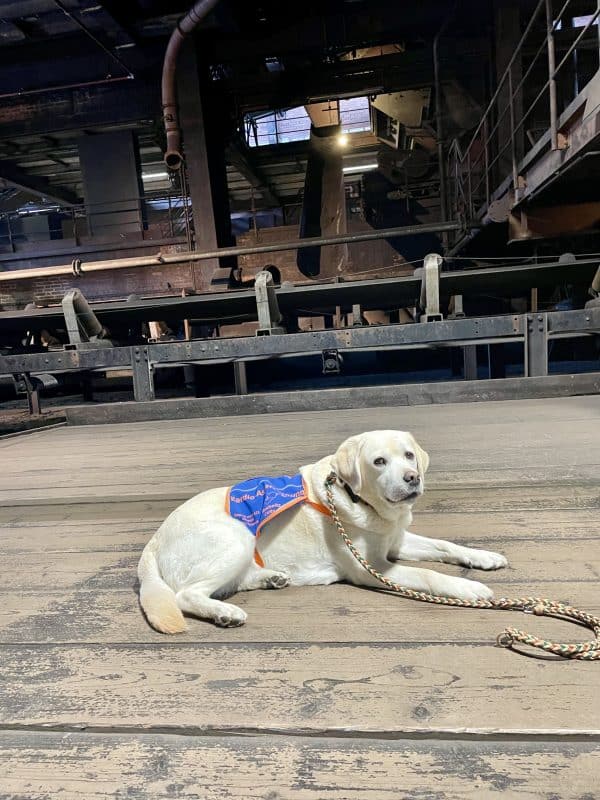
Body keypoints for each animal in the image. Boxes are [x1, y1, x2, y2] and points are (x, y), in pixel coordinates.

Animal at [137, 428, 506, 636]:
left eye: (409, 456)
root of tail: (152, 543)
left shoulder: (395, 540)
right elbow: (429, 574)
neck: (357, 497)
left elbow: (444, 545)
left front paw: (484, 556)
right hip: (235, 535)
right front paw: (468, 588)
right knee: (186, 594)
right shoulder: (370, 567)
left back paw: (271, 578)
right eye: (379, 462)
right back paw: (226, 613)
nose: (412, 478)